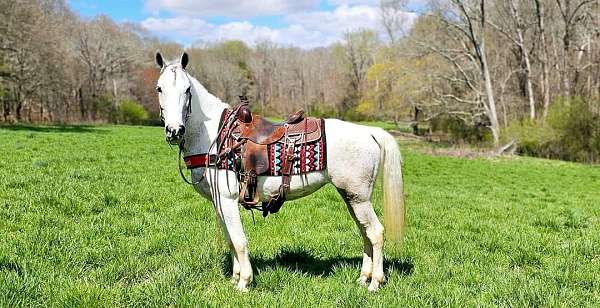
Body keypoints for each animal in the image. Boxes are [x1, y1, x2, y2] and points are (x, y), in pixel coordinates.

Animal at [155, 52, 408, 292]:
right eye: (159, 88)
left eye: (187, 89)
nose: (175, 130)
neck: (215, 135)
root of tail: (369, 132)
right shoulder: (220, 202)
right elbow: (229, 240)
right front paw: (235, 277)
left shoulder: (227, 199)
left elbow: (239, 241)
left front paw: (244, 282)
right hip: (352, 197)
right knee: (364, 232)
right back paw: (363, 278)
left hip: (358, 197)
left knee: (376, 232)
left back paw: (375, 282)